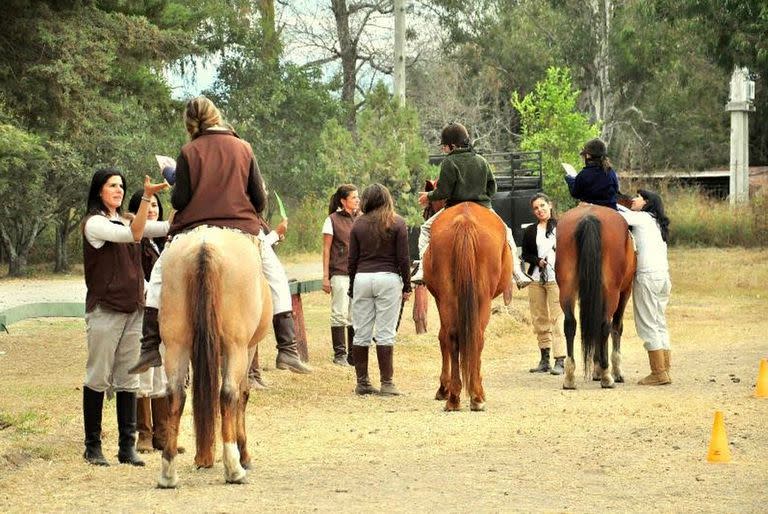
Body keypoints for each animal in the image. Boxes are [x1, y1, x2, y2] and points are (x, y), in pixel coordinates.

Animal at [154, 226, 272, 486]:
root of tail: (205, 246)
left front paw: (203, 457)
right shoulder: (248, 349)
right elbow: (242, 395)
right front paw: (244, 455)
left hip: (177, 344)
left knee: (176, 395)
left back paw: (168, 473)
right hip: (235, 347)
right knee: (228, 394)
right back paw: (234, 468)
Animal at [420, 202, 510, 410]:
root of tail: (465, 222)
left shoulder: (439, 299)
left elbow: (444, 337)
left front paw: (444, 389)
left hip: (448, 294)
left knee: (453, 336)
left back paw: (454, 397)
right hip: (482, 298)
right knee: (476, 335)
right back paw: (475, 395)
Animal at [552, 202, 636, 386]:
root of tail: (588, 217)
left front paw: (596, 368)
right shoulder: (625, 291)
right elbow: (616, 327)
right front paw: (614, 371)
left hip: (567, 287)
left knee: (570, 324)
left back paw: (570, 377)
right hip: (612, 292)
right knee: (605, 325)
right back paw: (606, 376)